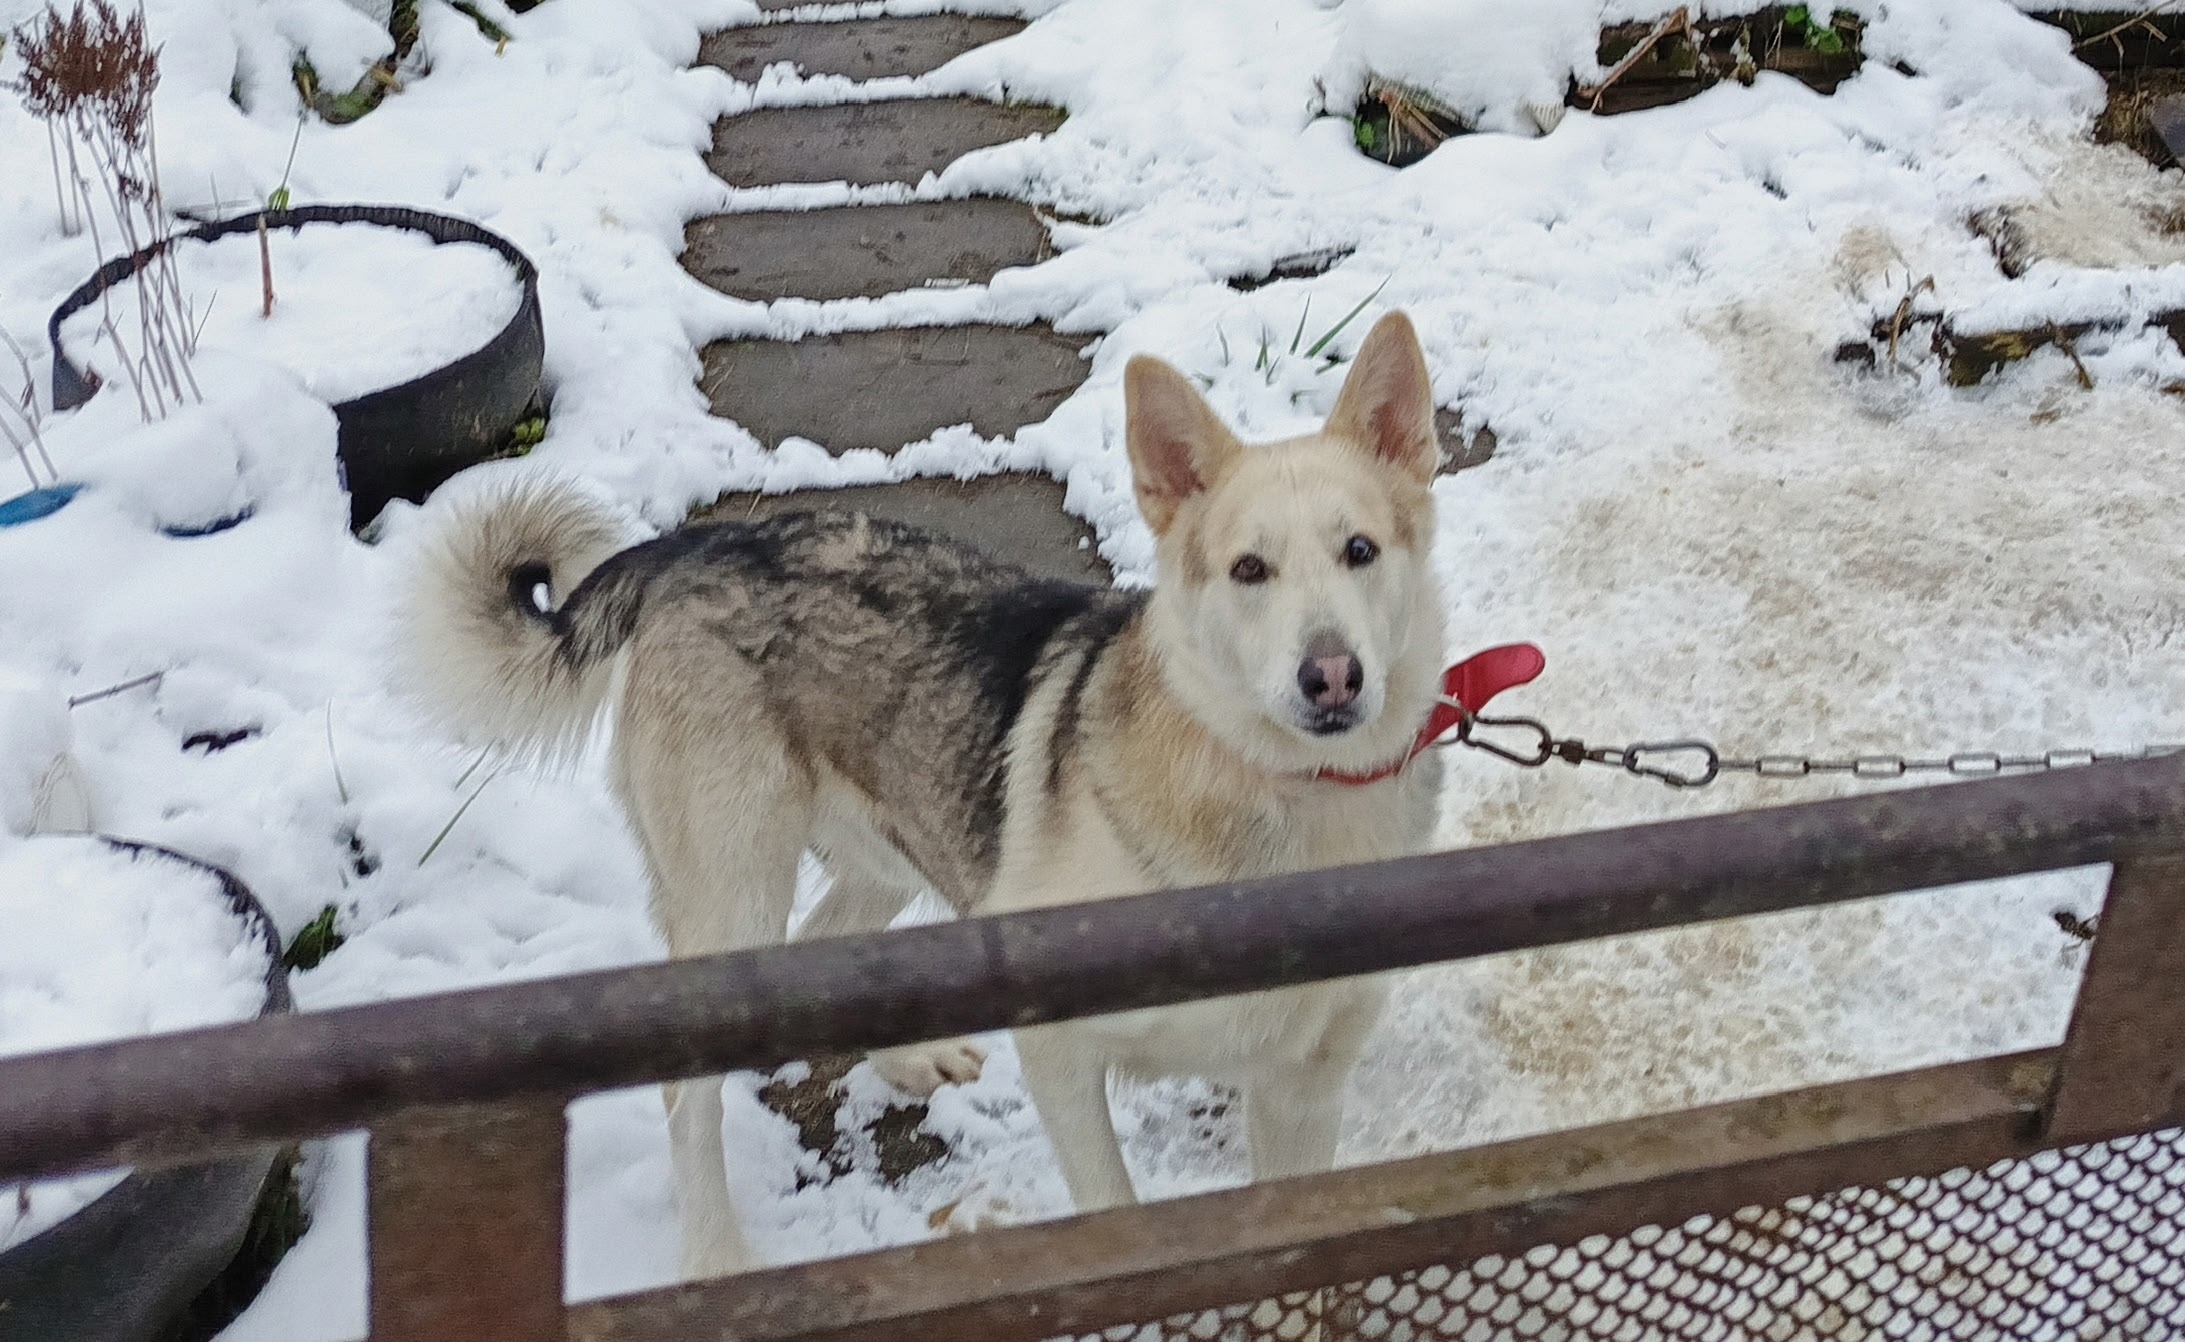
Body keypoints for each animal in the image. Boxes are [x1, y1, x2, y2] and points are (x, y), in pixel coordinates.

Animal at [397, 311, 1449, 1279]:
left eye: (1359, 551)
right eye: (1248, 570)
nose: (1332, 677)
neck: (1280, 804)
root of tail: (700, 545)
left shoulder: (1301, 1092)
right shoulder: (1062, 1056)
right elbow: (1112, 1213)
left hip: (888, 855)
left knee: (824, 954)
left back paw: (904, 1060)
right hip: (736, 890)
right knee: (684, 1092)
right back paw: (715, 1258)